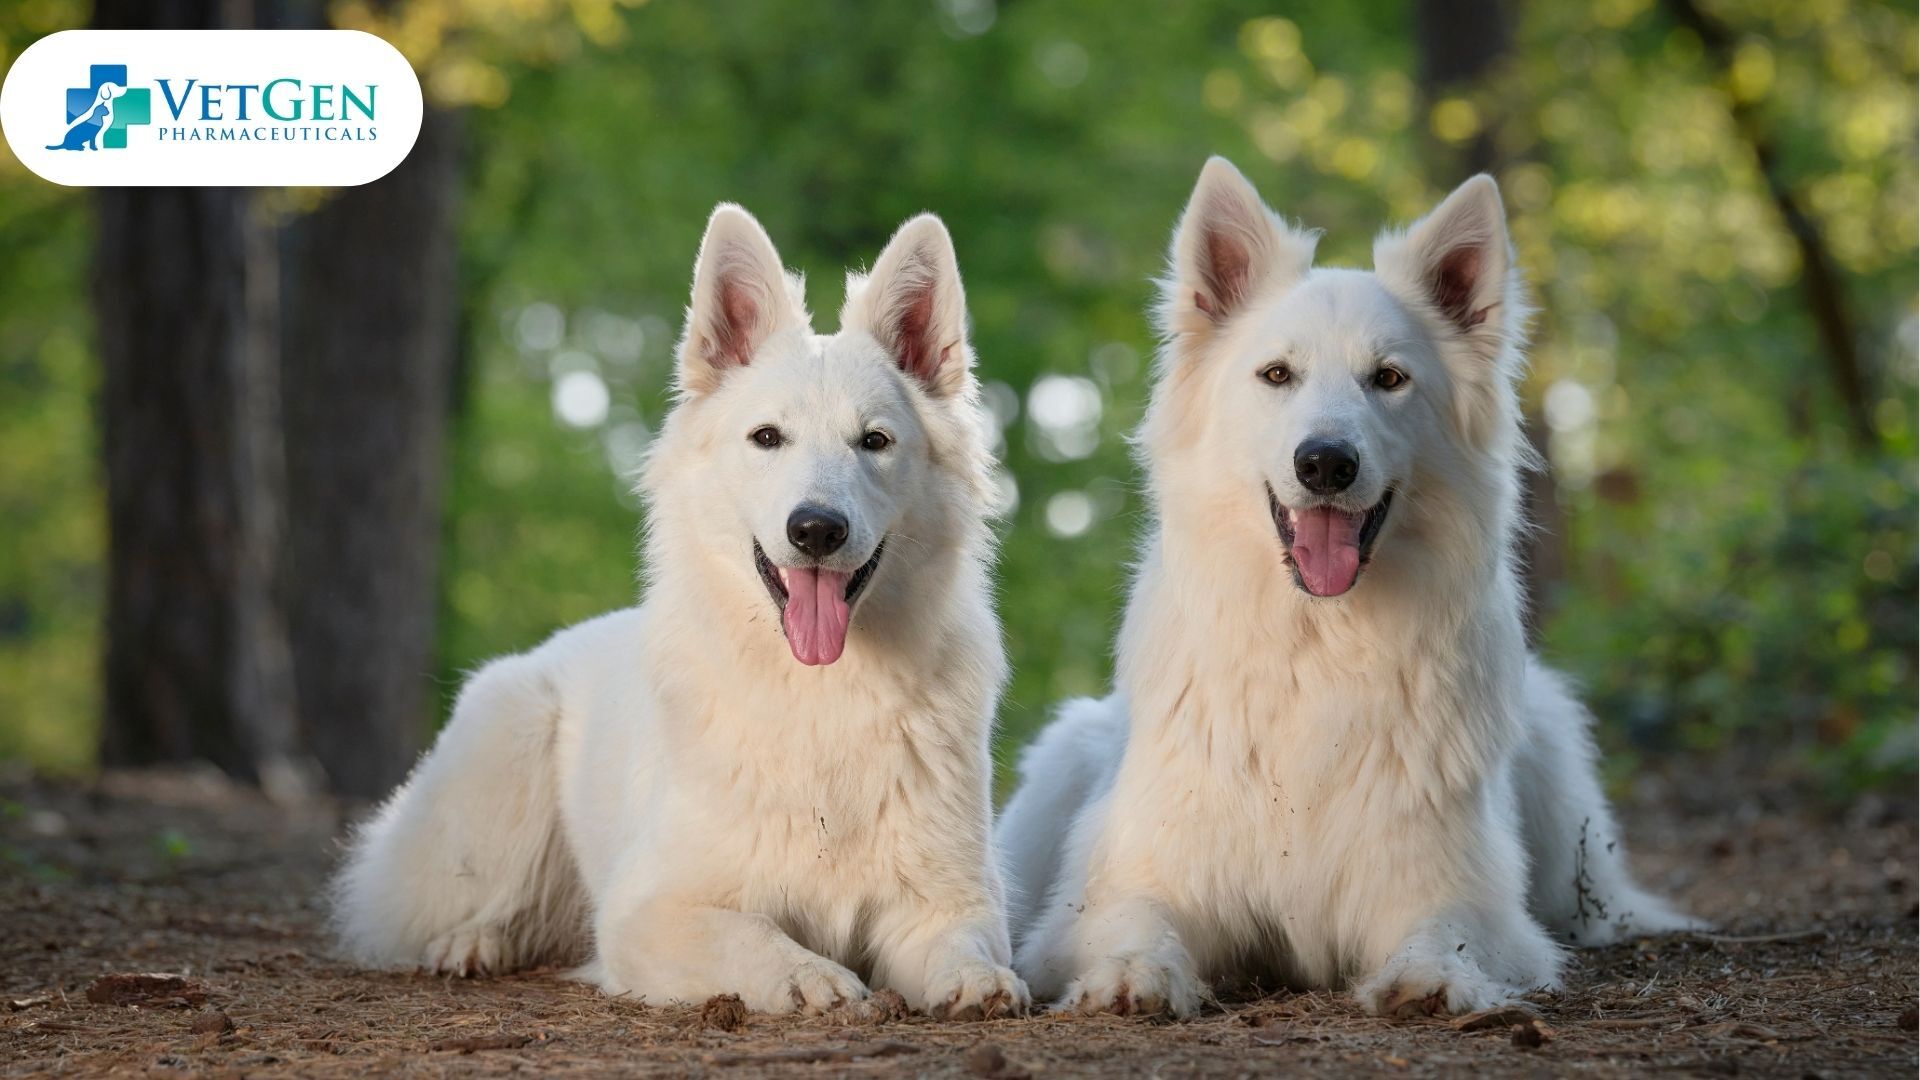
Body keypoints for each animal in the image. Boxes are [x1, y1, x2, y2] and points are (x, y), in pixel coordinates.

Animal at [326, 203, 1036, 1014]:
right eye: (767, 437)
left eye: (875, 441)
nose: (816, 530)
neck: (820, 694)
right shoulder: (651, 910)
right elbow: (750, 936)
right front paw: (809, 978)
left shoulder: (946, 902)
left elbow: (967, 943)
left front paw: (979, 980)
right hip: (508, 756)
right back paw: (471, 942)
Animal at [998, 155, 1689, 1014]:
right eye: (1277, 374)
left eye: (1388, 378)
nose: (1325, 463)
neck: (1316, 647)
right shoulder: (1126, 887)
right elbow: (1133, 918)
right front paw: (1133, 974)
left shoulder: (1460, 890)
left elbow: (1448, 928)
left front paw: (1432, 977)